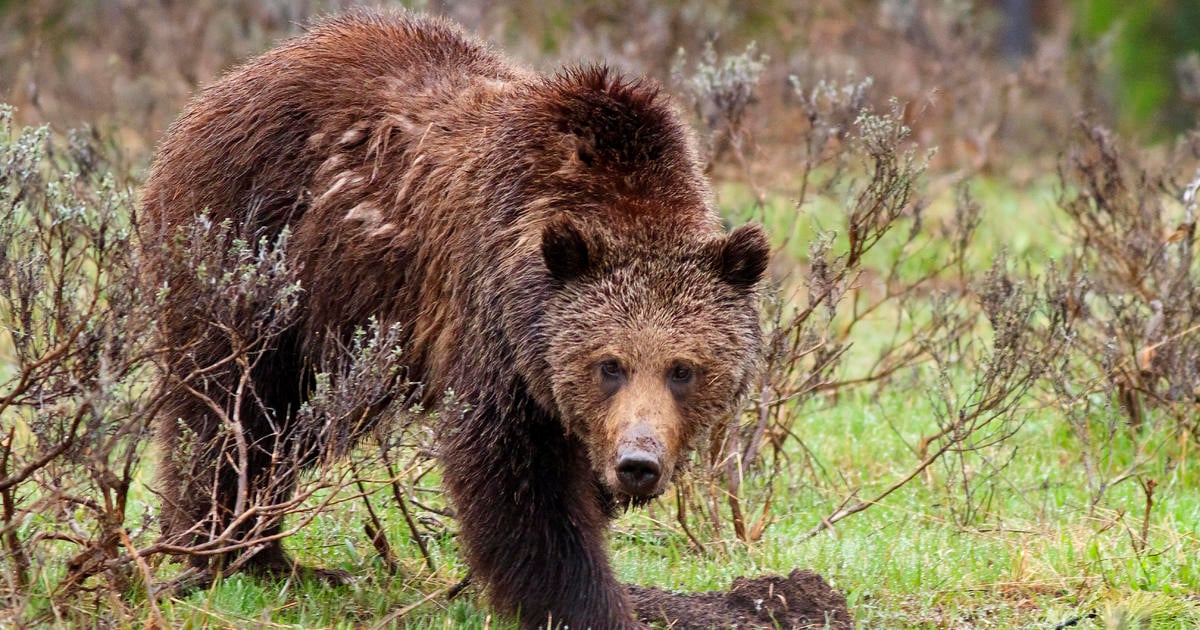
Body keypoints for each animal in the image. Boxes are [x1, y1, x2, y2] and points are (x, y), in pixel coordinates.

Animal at [142, 9, 768, 628]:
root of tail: (221, 87)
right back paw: (236, 550)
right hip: (257, 256)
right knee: (231, 409)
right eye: (609, 365)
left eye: (683, 369)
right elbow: (517, 483)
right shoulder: (495, 324)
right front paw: (589, 604)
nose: (639, 462)